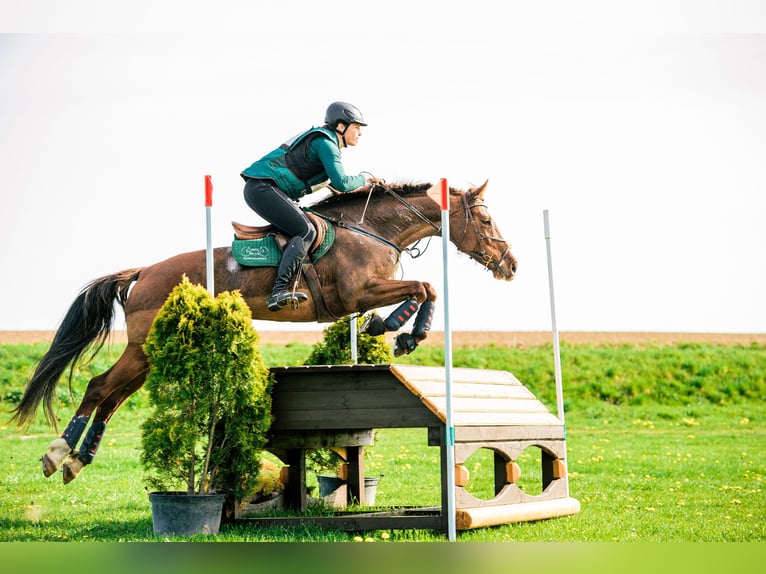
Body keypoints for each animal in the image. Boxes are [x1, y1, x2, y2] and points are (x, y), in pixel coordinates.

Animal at [11, 180, 517, 484]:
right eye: (486, 220)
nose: (511, 265)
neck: (372, 230)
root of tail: (144, 271)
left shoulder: (364, 294)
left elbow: (425, 288)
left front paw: (398, 330)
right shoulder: (358, 293)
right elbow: (424, 287)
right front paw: (396, 328)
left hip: (151, 353)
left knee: (112, 398)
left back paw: (77, 461)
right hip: (142, 349)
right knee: (100, 388)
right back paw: (56, 454)